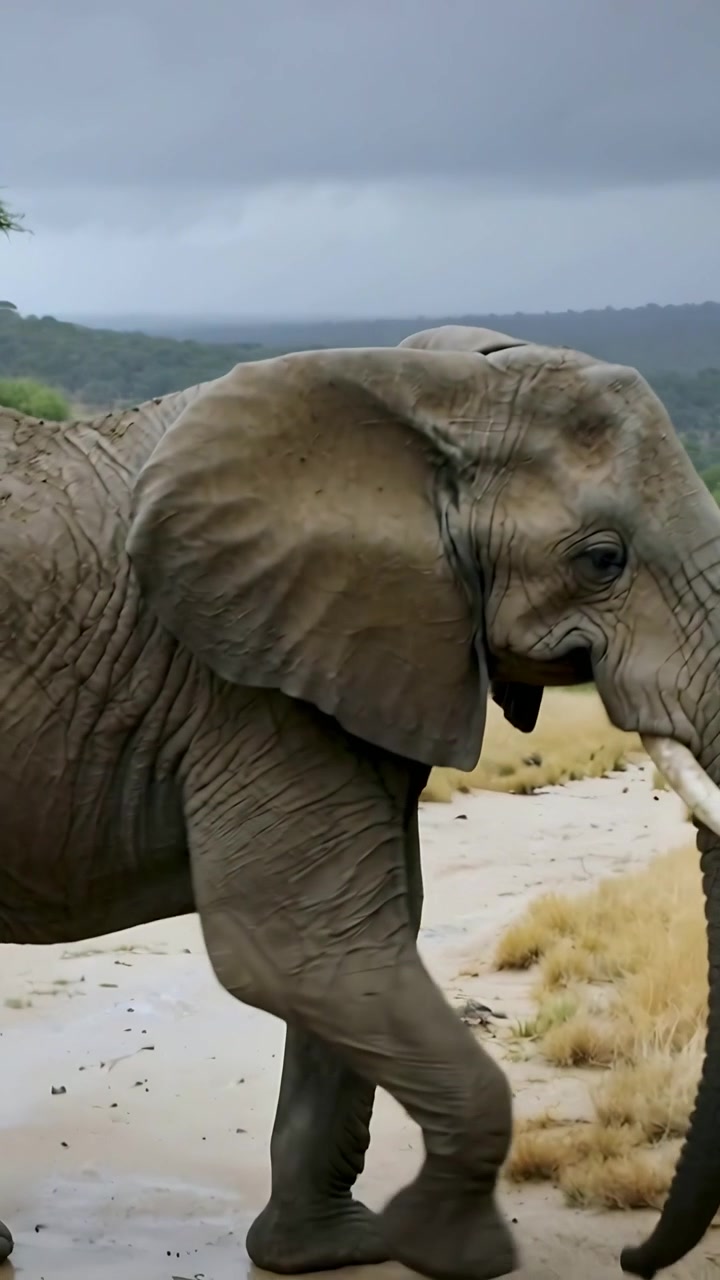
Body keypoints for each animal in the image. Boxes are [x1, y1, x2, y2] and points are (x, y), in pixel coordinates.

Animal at [0, 323, 718, 1280]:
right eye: (603, 560)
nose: (637, 1257)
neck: (426, 387)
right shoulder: (247, 684)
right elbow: (302, 952)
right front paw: (455, 1250)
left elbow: (365, 942)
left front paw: (330, 1250)